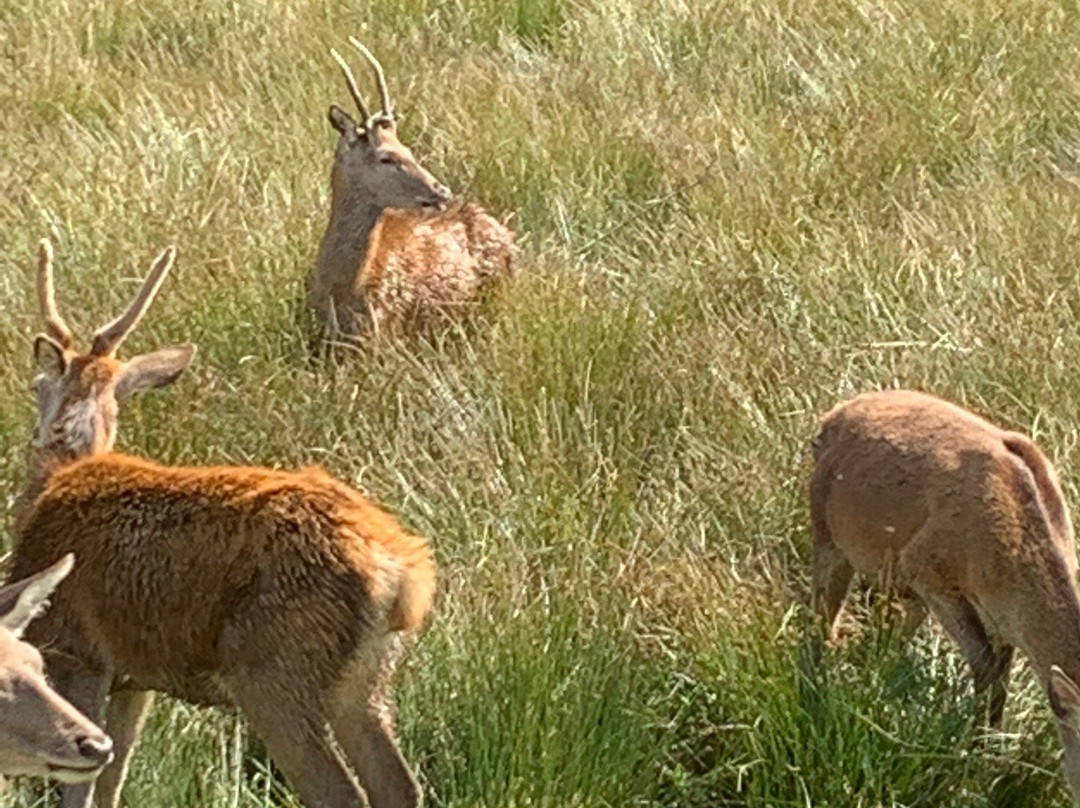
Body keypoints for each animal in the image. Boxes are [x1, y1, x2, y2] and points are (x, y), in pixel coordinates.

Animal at [14, 239, 437, 808]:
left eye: (36, 383)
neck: (55, 481)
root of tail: (403, 572)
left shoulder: (78, 650)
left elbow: (82, 786)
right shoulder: (136, 678)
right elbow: (113, 779)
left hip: (276, 669)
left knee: (340, 791)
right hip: (367, 679)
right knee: (399, 785)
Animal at [810, 388, 1080, 806]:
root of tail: (832, 416)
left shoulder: (1002, 621)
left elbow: (999, 679)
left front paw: (992, 755)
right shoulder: (926, 569)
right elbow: (983, 664)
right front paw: (975, 767)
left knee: (884, 639)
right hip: (826, 531)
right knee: (821, 621)